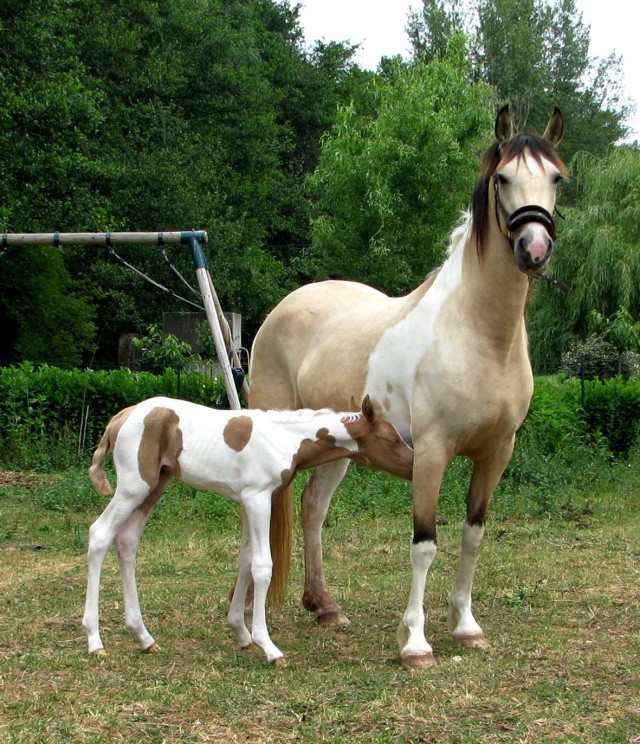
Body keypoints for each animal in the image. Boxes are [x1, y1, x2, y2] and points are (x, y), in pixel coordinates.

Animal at [82, 392, 412, 664]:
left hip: (156, 484)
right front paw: (269, 647)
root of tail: (123, 416)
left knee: (127, 540)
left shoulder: (248, 501)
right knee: (100, 534)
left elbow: (244, 560)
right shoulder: (257, 498)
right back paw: (95, 640)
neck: (285, 439)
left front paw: (241, 633)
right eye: (391, 440)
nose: (413, 467)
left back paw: (144, 637)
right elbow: (262, 566)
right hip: (133, 486)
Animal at [248, 106, 568, 668]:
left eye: (555, 178)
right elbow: (424, 543)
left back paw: (324, 606)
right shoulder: (432, 453)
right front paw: (415, 642)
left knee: (313, 508)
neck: (479, 335)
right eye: (503, 178)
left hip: (333, 450)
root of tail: (283, 310)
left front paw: (466, 626)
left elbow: (472, 537)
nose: (534, 248)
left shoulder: (496, 454)